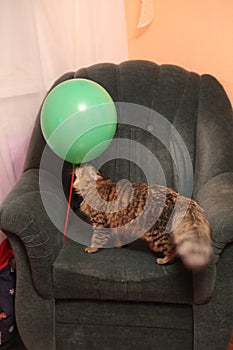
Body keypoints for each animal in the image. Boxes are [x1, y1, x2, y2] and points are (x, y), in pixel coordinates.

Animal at [73, 163, 212, 270]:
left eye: (82, 169)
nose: (77, 166)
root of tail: (175, 195)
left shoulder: (100, 221)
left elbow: (98, 238)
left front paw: (92, 248)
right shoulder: (117, 222)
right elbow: (119, 236)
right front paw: (120, 245)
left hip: (157, 232)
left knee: (172, 247)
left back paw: (164, 259)